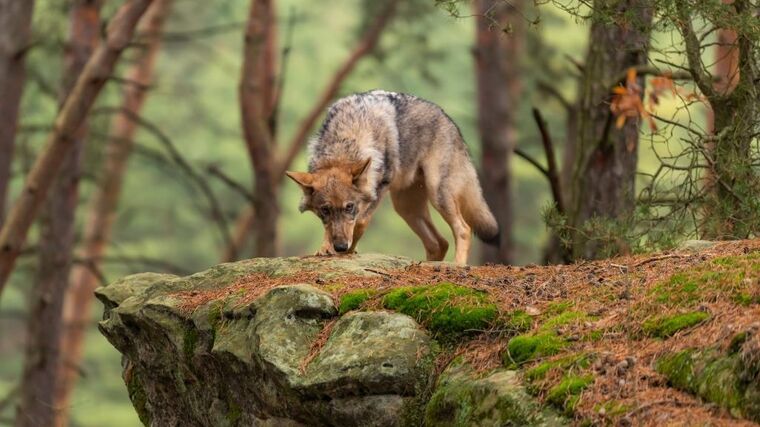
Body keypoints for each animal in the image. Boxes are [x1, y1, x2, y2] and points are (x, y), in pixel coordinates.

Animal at [284, 90, 498, 264]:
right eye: (325, 210)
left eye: (349, 207)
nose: (341, 247)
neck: (346, 141)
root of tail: (451, 122)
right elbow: (329, 230)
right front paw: (325, 248)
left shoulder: (379, 189)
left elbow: (359, 223)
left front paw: (349, 250)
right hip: (406, 208)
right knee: (439, 243)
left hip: (437, 194)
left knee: (463, 229)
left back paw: (458, 265)